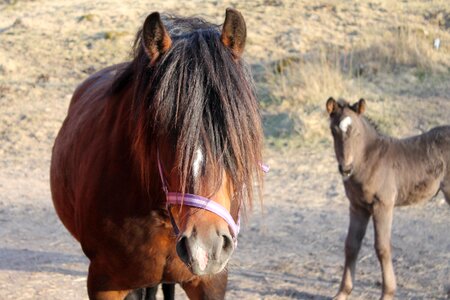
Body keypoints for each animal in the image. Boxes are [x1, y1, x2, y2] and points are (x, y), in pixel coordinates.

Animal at [326, 97, 450, 298]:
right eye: (333, 130)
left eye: (357, 132)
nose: (345, 168)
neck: (369, 161)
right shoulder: (357, 206)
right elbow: (351, 245)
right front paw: (342, 293)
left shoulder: (383, 205)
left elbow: (382, 247)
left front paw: (387, 293)